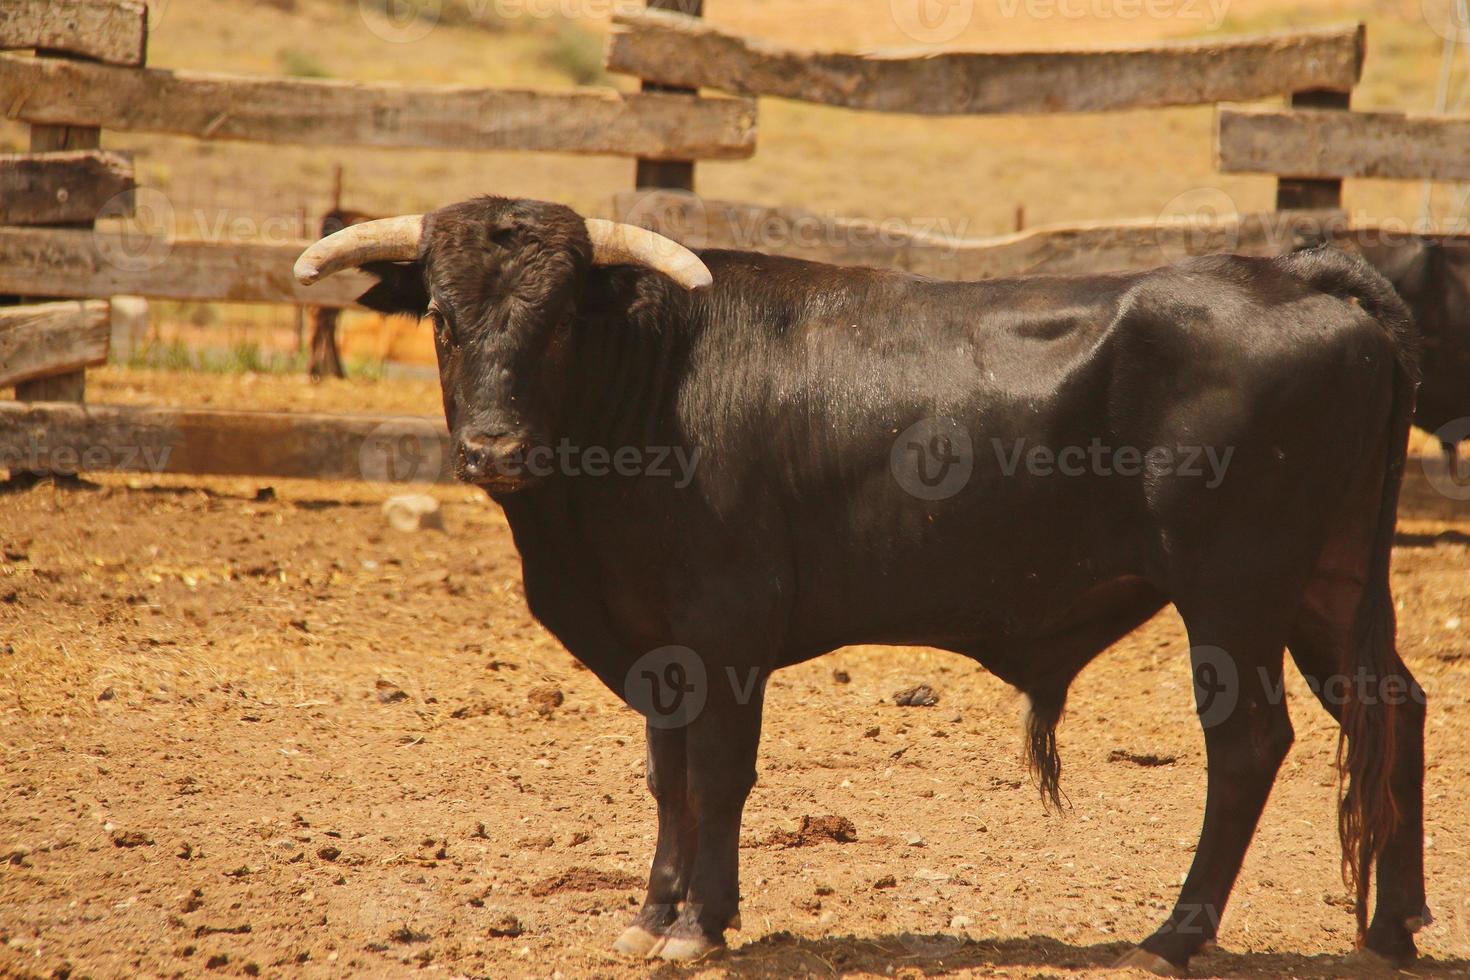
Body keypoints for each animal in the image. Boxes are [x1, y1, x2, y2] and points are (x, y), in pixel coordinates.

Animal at [301, 196, 1434, 975]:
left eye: (561, 321)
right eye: (442, 318)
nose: (495, 448)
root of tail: (1304, 276)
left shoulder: (727, 629)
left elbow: (718, 775)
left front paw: (700, 924)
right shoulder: (657, 645)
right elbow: (668, 778)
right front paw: (652, 914)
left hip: (1233, 590)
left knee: (1248, 745)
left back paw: (1171, 936)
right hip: (1330, 587)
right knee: (1393, 707)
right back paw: (1393, 924)